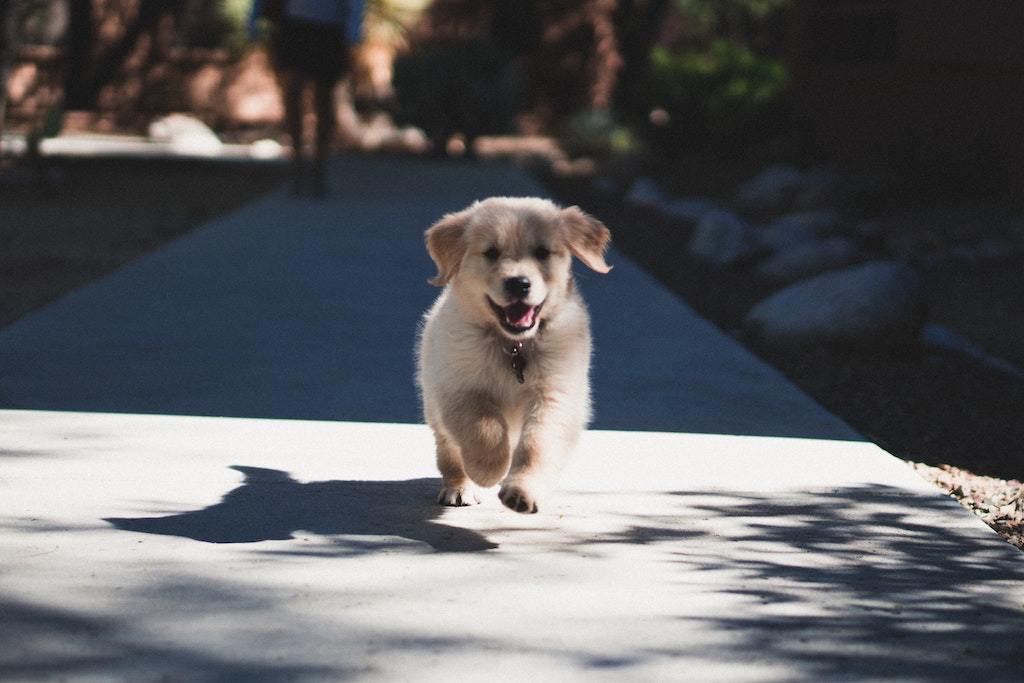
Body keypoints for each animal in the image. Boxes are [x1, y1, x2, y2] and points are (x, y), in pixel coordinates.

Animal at [413, 197, 610, 511]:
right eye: (491, 253)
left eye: (542, 252)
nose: (519, 283)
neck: (514, 345)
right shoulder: (459, 388)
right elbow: (485, 428)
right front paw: (489, 469)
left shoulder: (555, 394)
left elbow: (537, 445)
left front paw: (522, 491)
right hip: (434, 405)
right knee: (449, 452)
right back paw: (460, 487)